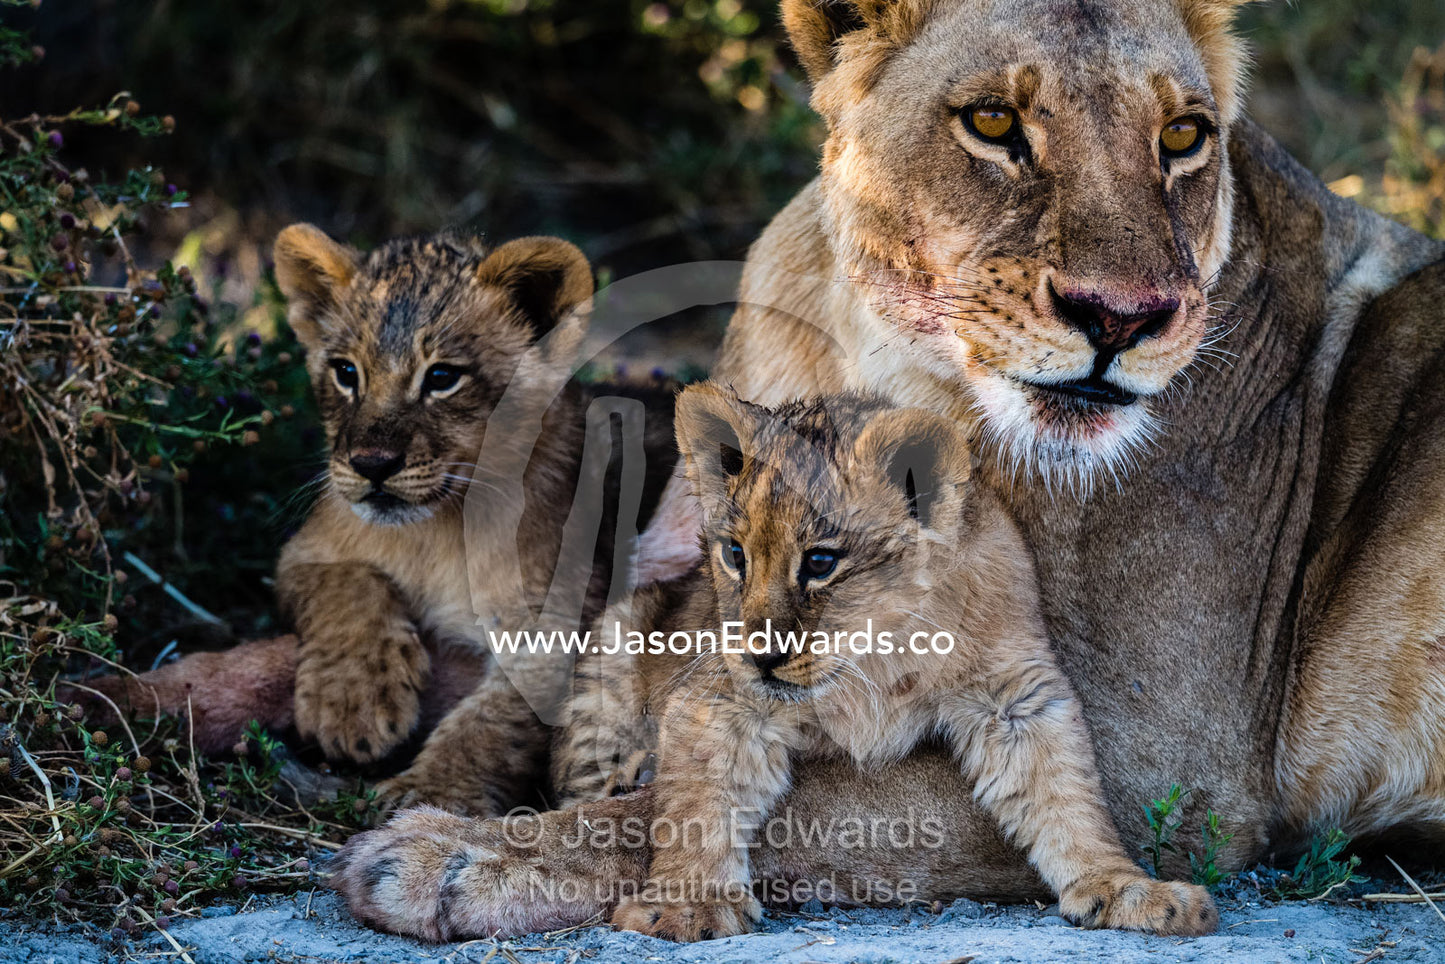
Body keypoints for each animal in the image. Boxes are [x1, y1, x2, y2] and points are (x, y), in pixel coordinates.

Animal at [330, 0, 1445, 940]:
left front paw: (444, 855)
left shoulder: (1158, 766)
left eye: (1180, 137)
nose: (1124, 318)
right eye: (992, 122)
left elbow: (784, 806)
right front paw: (437, 797)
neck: (866, 365)